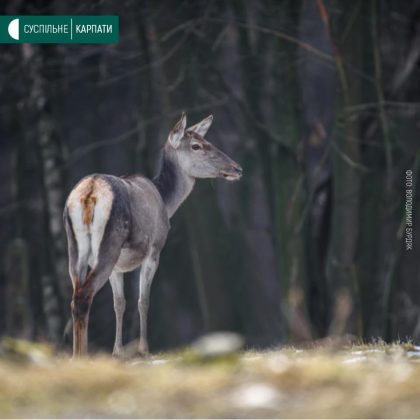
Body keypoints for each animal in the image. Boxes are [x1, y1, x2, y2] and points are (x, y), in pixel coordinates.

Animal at [61, 113, 240, 356]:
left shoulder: (118, 267)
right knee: (84, 295)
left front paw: (117, 351)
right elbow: (143, 300)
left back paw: (75, 355)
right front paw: (144, 349)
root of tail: (89, 194)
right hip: (109, 243)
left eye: (207, 141)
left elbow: (120, 303)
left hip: (75, 246)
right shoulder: (154, 249)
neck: (165, 201)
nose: (237, 168)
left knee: (75, 295)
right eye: (196, 145)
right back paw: (82, 355)